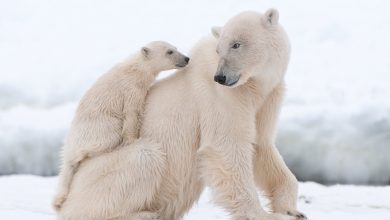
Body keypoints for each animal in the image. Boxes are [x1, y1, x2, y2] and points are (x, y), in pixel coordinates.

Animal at [59, 8, 306, 220]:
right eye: (219, 49)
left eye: (236, 44)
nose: (221, 77)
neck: (254, 86)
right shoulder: (221, 97)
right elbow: (226, 146)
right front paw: (265, 214)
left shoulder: (267, 98)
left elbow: (261, 146)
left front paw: (292, 210)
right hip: (104, 172)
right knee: (144, 157)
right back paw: (143, 213)